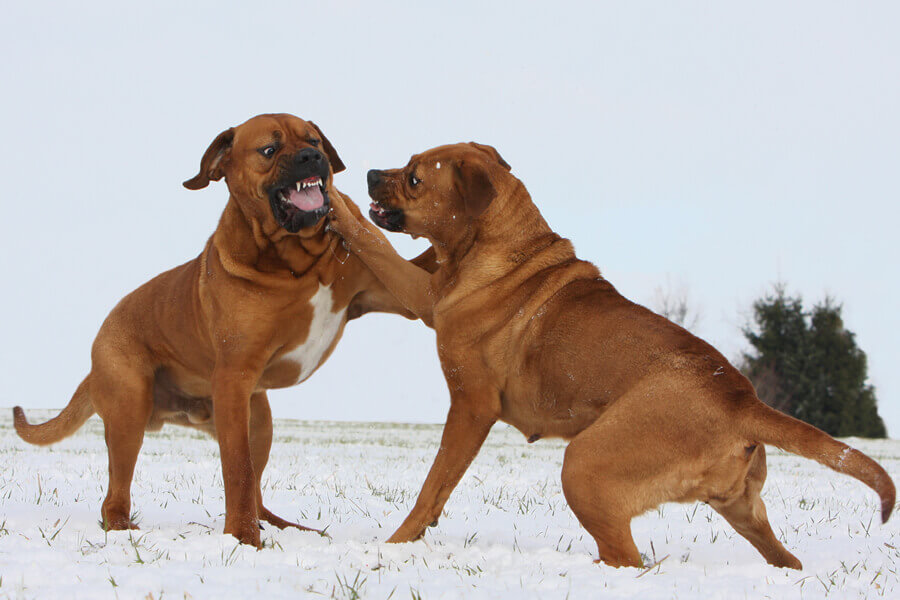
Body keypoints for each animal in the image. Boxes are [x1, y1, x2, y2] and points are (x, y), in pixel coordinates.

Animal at [326, 141, 896, 568]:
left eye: (415, 177)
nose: (372, 173)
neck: (496, 245)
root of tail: (742, 401)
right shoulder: (423, 293)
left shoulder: (466, 393)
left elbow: (433, 485)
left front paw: (335, 201)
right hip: (741, 507)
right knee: (785, 559)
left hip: (586, 466)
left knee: (628, 558)